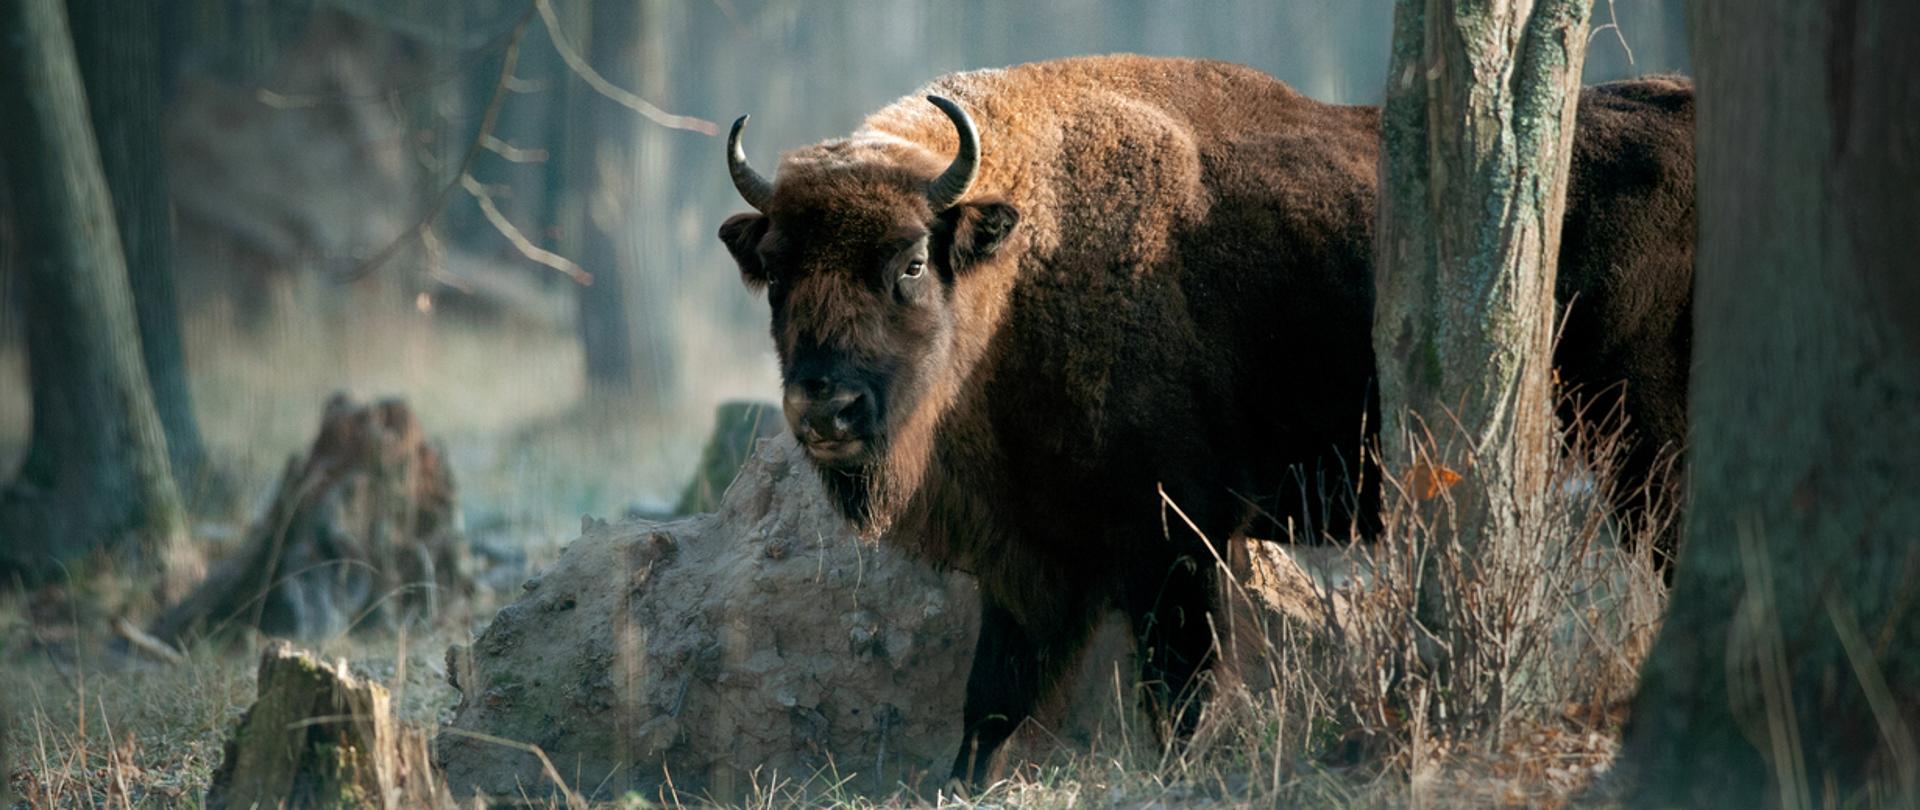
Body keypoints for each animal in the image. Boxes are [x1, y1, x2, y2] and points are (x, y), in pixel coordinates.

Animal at [717, 55, 1692, 784]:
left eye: (912, 261)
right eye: (776, 269)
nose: (825, 407)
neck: (1023, 264)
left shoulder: (1173, 545)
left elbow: (1174, 694)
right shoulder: (1031, 561)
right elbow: (989, 705)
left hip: (1643, 451)